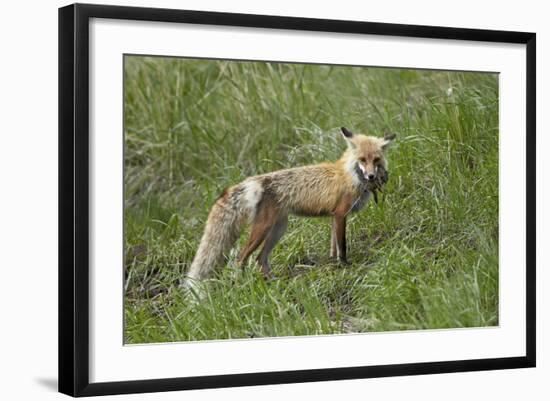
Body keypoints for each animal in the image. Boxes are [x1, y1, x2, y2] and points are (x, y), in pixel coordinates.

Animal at [187, 126, 396, 282]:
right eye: (362, 160)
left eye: (376, 159)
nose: (371, 176)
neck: (350, 176)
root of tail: (252, 181)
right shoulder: (340, 214)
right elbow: (342, 246)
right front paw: (344, 265)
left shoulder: (333, 217)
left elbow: (333, 246)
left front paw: (333, 263)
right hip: (262, 230)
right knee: (240, 259)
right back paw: (244, 284)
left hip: (278, 229)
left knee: (260, 259)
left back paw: (272, 283)